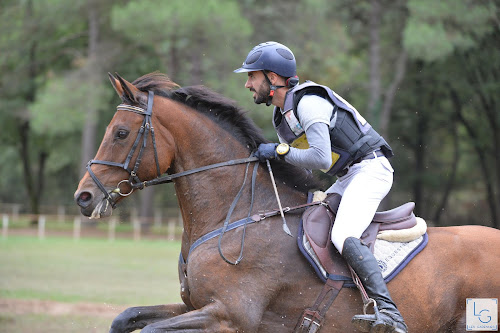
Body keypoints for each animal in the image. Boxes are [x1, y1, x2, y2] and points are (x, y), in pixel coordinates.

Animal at [74, 71, 500, 330]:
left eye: (121, 133)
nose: (84, 196)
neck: (236, 214)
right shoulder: (197, 306)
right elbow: (127, 317)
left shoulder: (228, 314)